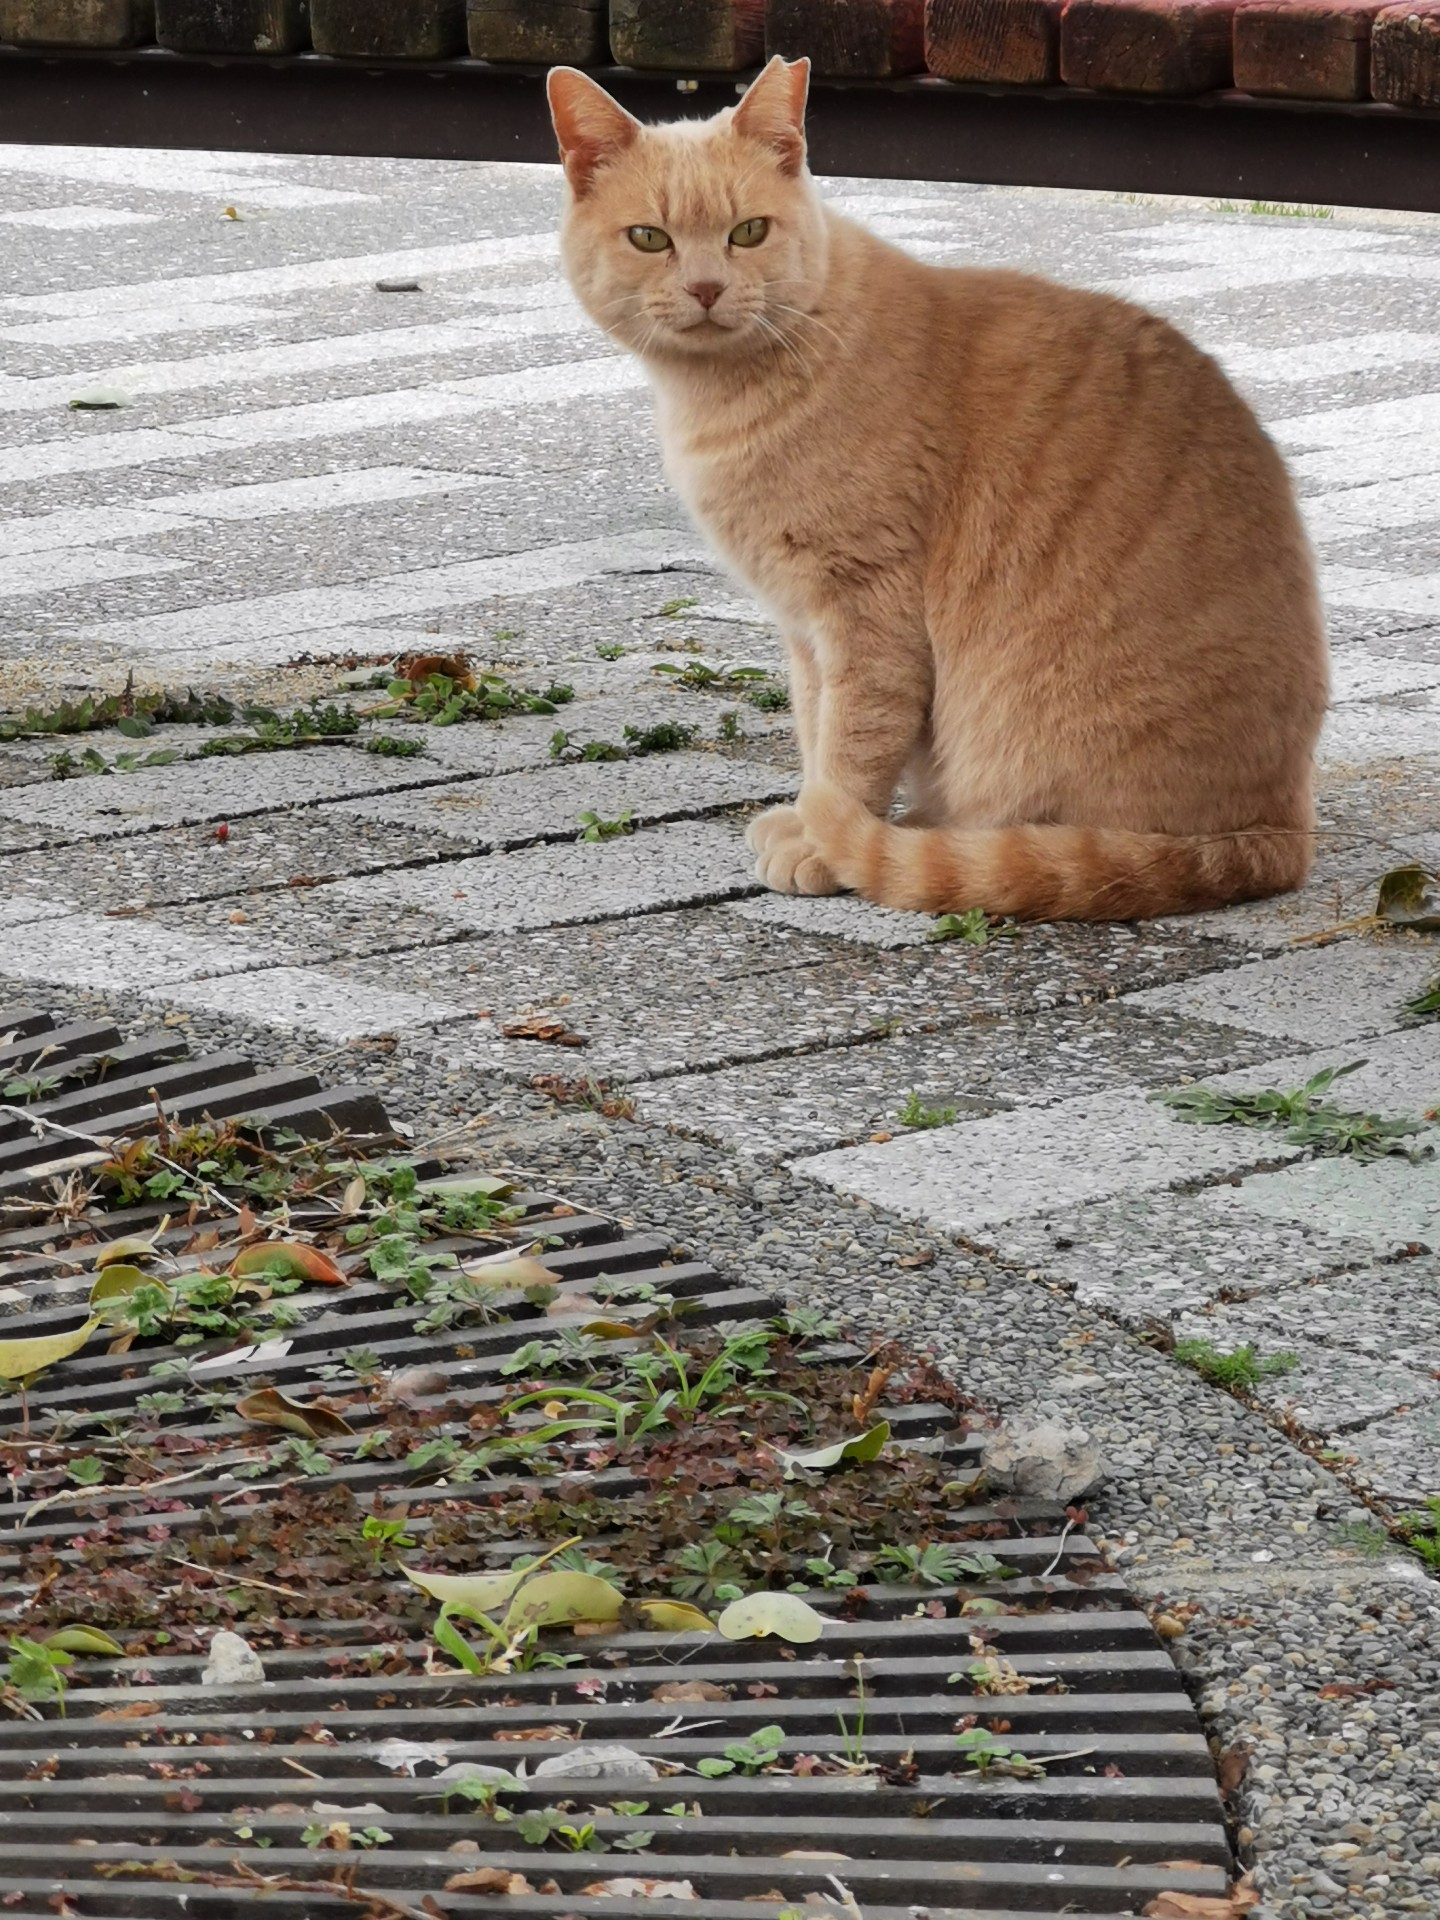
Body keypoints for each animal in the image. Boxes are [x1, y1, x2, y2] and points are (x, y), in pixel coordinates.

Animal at [547, 57, 1328, 920]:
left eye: (747, 232)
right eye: (650, 238)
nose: (708, 287)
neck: (721, 396)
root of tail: (1277, 831)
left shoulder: (867, 608)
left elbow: (853, 743)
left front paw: (825, 841)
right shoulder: (804, 627)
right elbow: (814, 725)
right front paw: (811, 816)